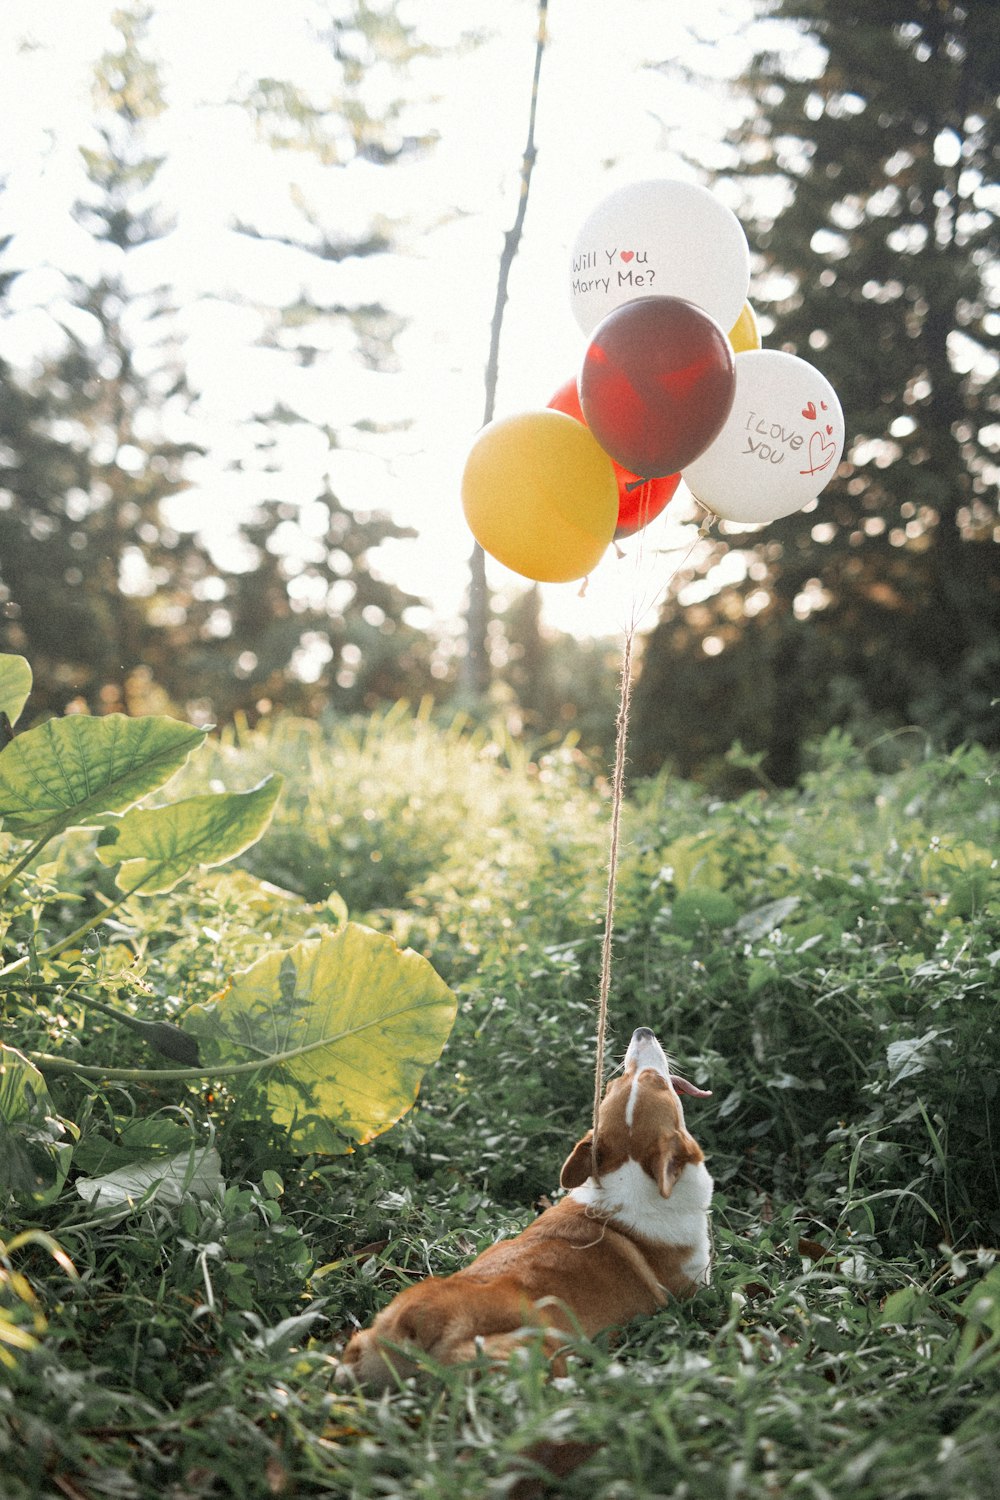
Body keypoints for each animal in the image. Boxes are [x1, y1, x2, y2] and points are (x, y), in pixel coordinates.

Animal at [340, 1026, 716, 1386]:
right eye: (657, 1082)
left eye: (610, 1086)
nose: (642, 1032)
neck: (630, 1175)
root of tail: (422, 1318)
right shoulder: (696, 1286)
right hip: (535, 1357)